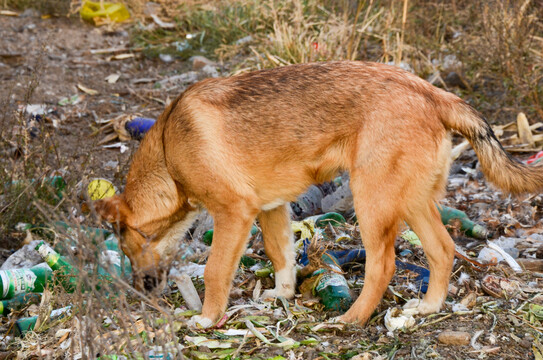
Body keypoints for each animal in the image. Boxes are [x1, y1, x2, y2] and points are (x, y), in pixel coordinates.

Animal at [94, 61, 543, 326]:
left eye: (127, 246)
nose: (140, 292)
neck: (169, 152)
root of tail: (433, 92)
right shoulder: (271, 208)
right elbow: (280, 255)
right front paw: (282, 294)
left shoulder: (234, 212)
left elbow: (215, 272)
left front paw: (206, 319)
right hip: (412, 202)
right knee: (444, 250)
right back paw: (427, 308)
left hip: (372, 202)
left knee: (384, 265)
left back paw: (352, 319)